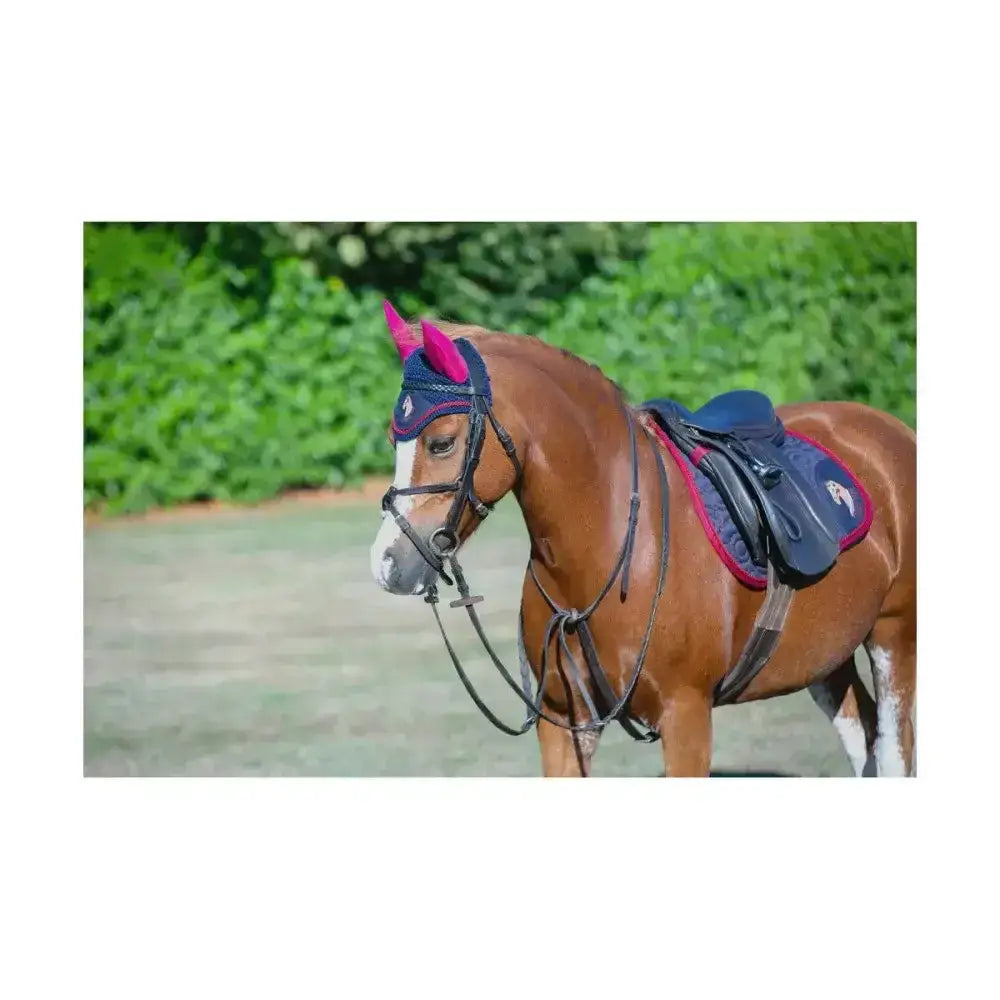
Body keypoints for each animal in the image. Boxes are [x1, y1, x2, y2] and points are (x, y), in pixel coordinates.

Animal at [369, 302, 917, 777]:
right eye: (394, 440)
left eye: (442, 443)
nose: (387, 564)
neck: (608, 548)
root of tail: (893, 431)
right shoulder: (563, 723)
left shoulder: (686, 717)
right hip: (825, 656)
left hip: (893, 636)